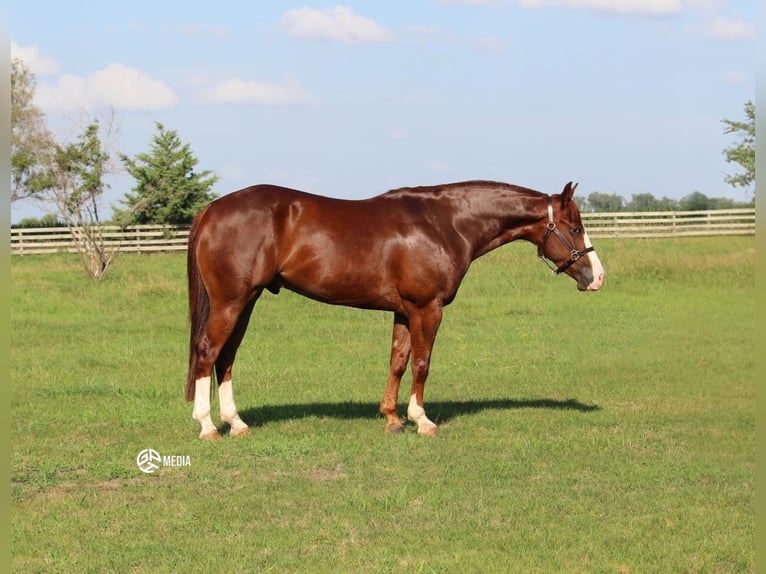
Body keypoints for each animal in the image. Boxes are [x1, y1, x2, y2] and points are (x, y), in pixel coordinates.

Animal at [186, 180, 605, 439]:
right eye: (574, 227)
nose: (597, 277)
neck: (444, 223)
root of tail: (211, 209)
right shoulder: (427, 308)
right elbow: (422, 363)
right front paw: (422, 420)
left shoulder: (404, 311)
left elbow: (398, 361)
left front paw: (391, 418)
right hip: (232, 302)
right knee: (208, 352)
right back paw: (208, 426)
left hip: (246, 302)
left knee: (226, 357)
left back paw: (236, 423)